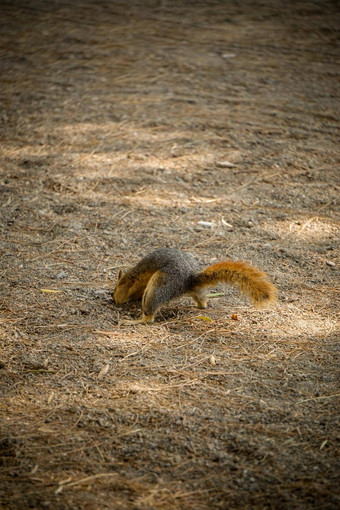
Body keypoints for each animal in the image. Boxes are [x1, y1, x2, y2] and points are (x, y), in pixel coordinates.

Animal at [113, 248, 278, 324]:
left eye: (115, 288)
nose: (112, 296)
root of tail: (189, 279)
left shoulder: (131, 281)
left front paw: (118, 299)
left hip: (159, 285)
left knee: (150, 316)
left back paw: (134, 321)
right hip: (195, 290)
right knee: (203, 301)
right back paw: (199, 306)